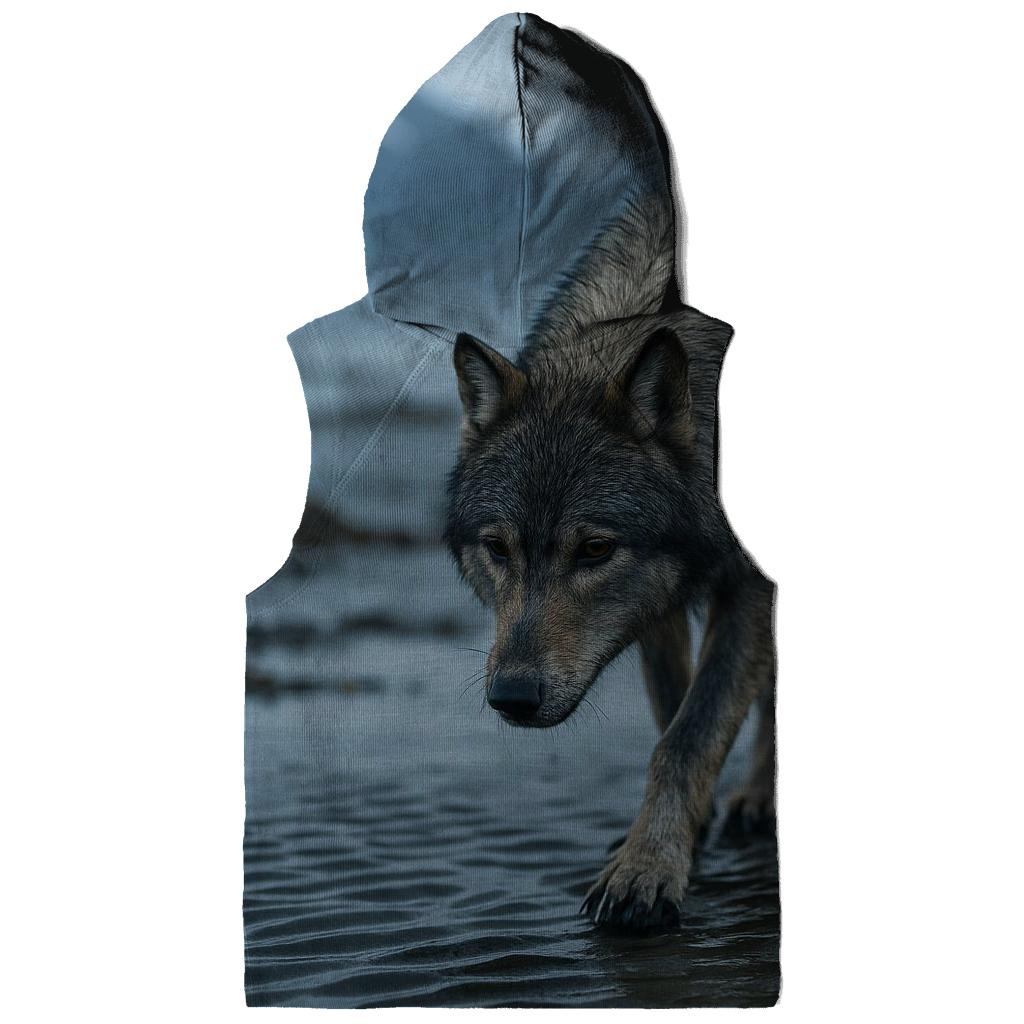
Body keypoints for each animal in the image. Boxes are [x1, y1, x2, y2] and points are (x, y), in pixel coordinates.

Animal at [444, 207, 777, 930]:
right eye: (499, 549)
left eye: (594, 550)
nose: (512, 697)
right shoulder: (658, 608)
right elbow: (673, 713)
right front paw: (670, 841)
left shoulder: (746, 588)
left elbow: (689, 735)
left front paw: (644, 872)